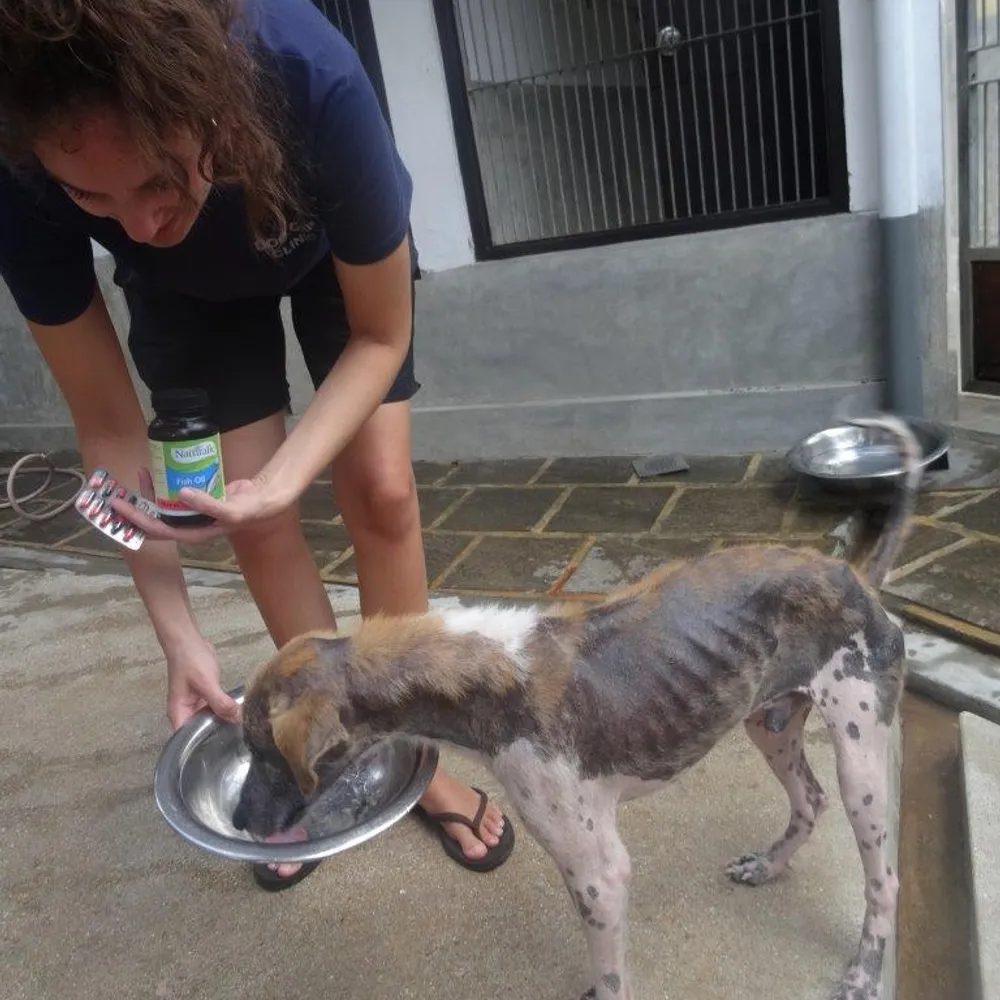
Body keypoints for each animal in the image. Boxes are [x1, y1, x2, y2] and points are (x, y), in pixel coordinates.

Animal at [233, 414, 920, 1000]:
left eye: (264, 754)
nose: (240, 822)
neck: (483, 677)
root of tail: (855, 574)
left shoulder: (599, 874)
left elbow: (612, 976)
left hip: (861, 759)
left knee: (883, 879)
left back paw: (864, 973)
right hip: (770, 723)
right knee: (809, 800)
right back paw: (769, 867)